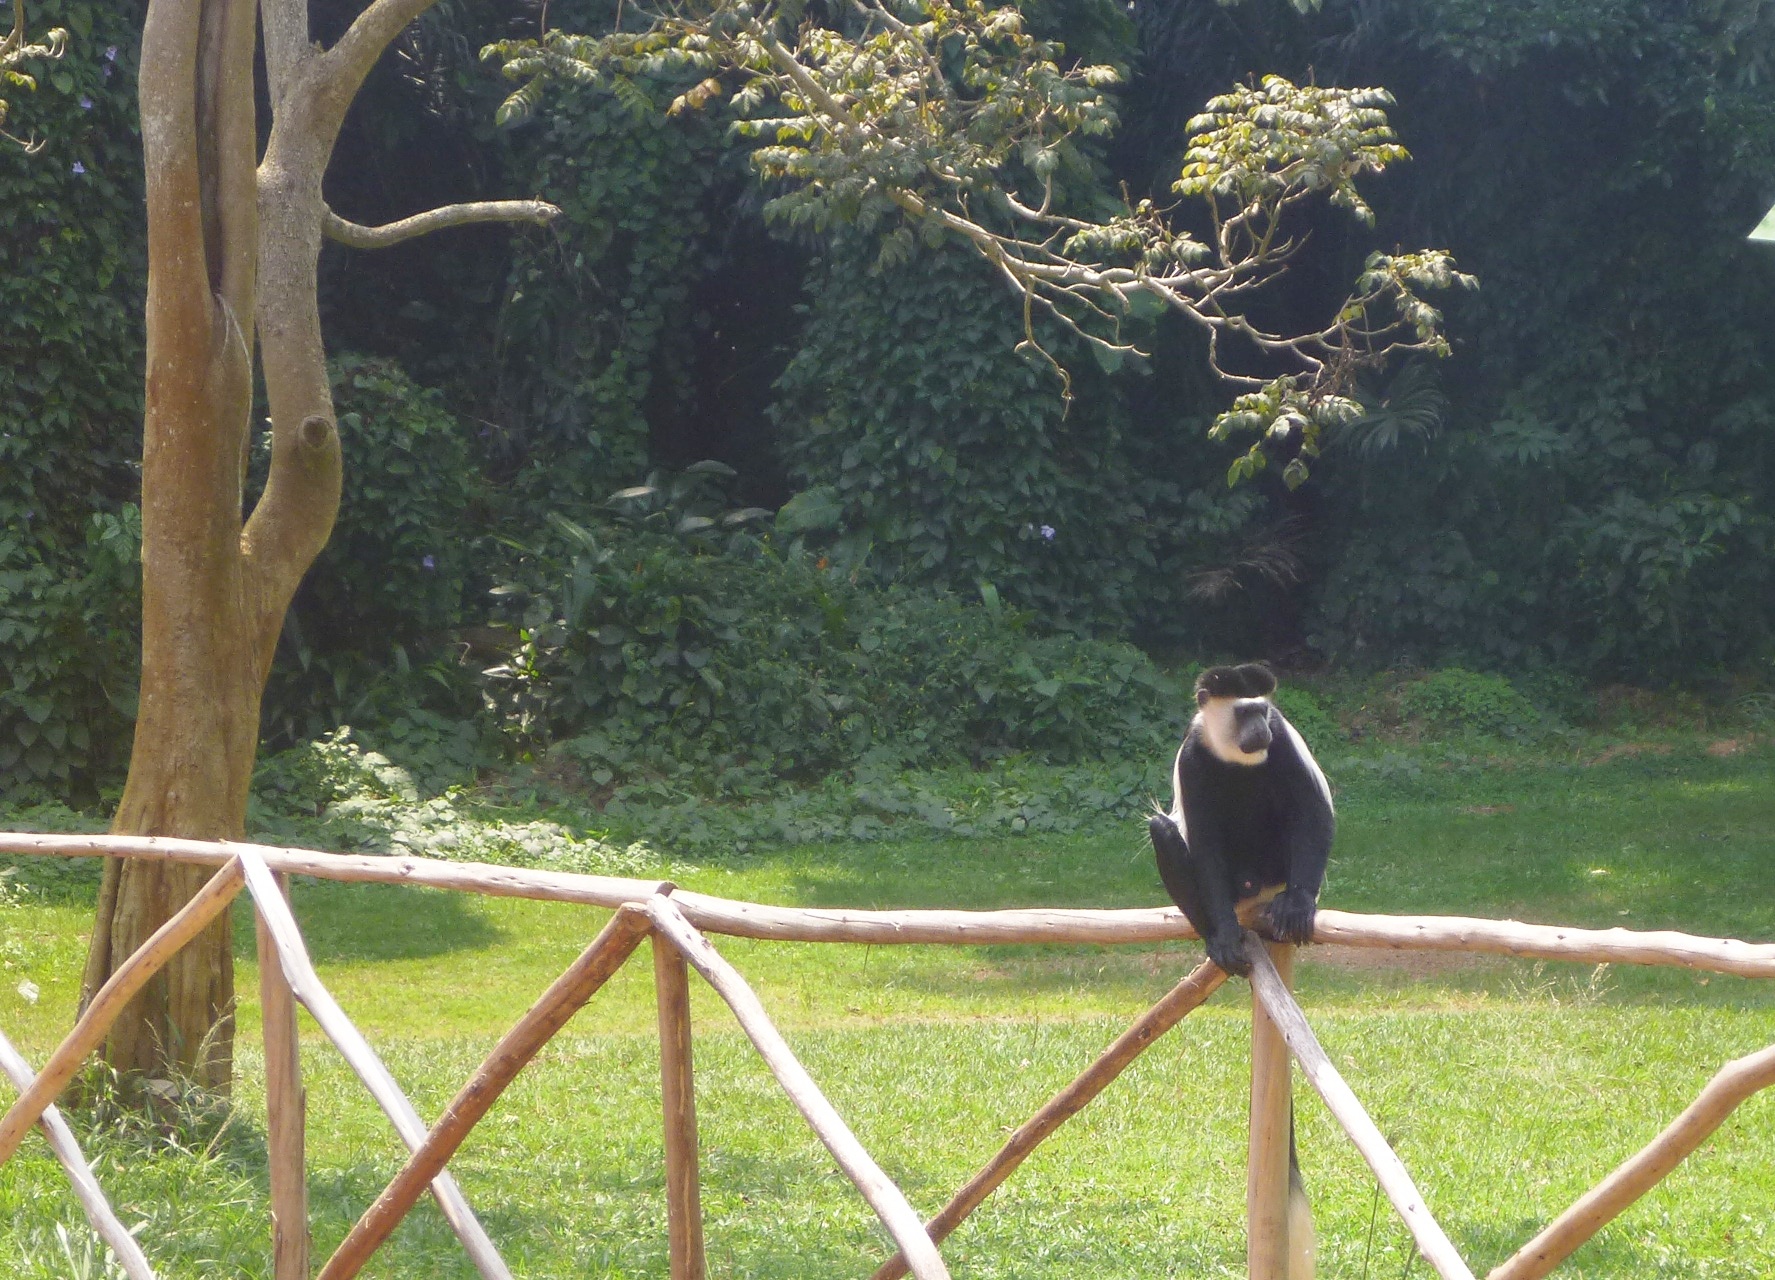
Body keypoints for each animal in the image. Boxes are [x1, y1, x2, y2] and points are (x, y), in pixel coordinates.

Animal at [1148, 661, 1334, 1280]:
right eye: (1242, 711)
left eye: (1262, 710)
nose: (1259, 730)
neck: (1235, 754)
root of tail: (1257, 890)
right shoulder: (1193, 757)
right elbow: (1200, 840)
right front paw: (1225, 940)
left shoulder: (1286, 740)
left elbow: (1313, 809)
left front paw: (1301, 904)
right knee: (1165, 831)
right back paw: (1218, 941)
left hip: (1275, 857)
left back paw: (1287, 905)